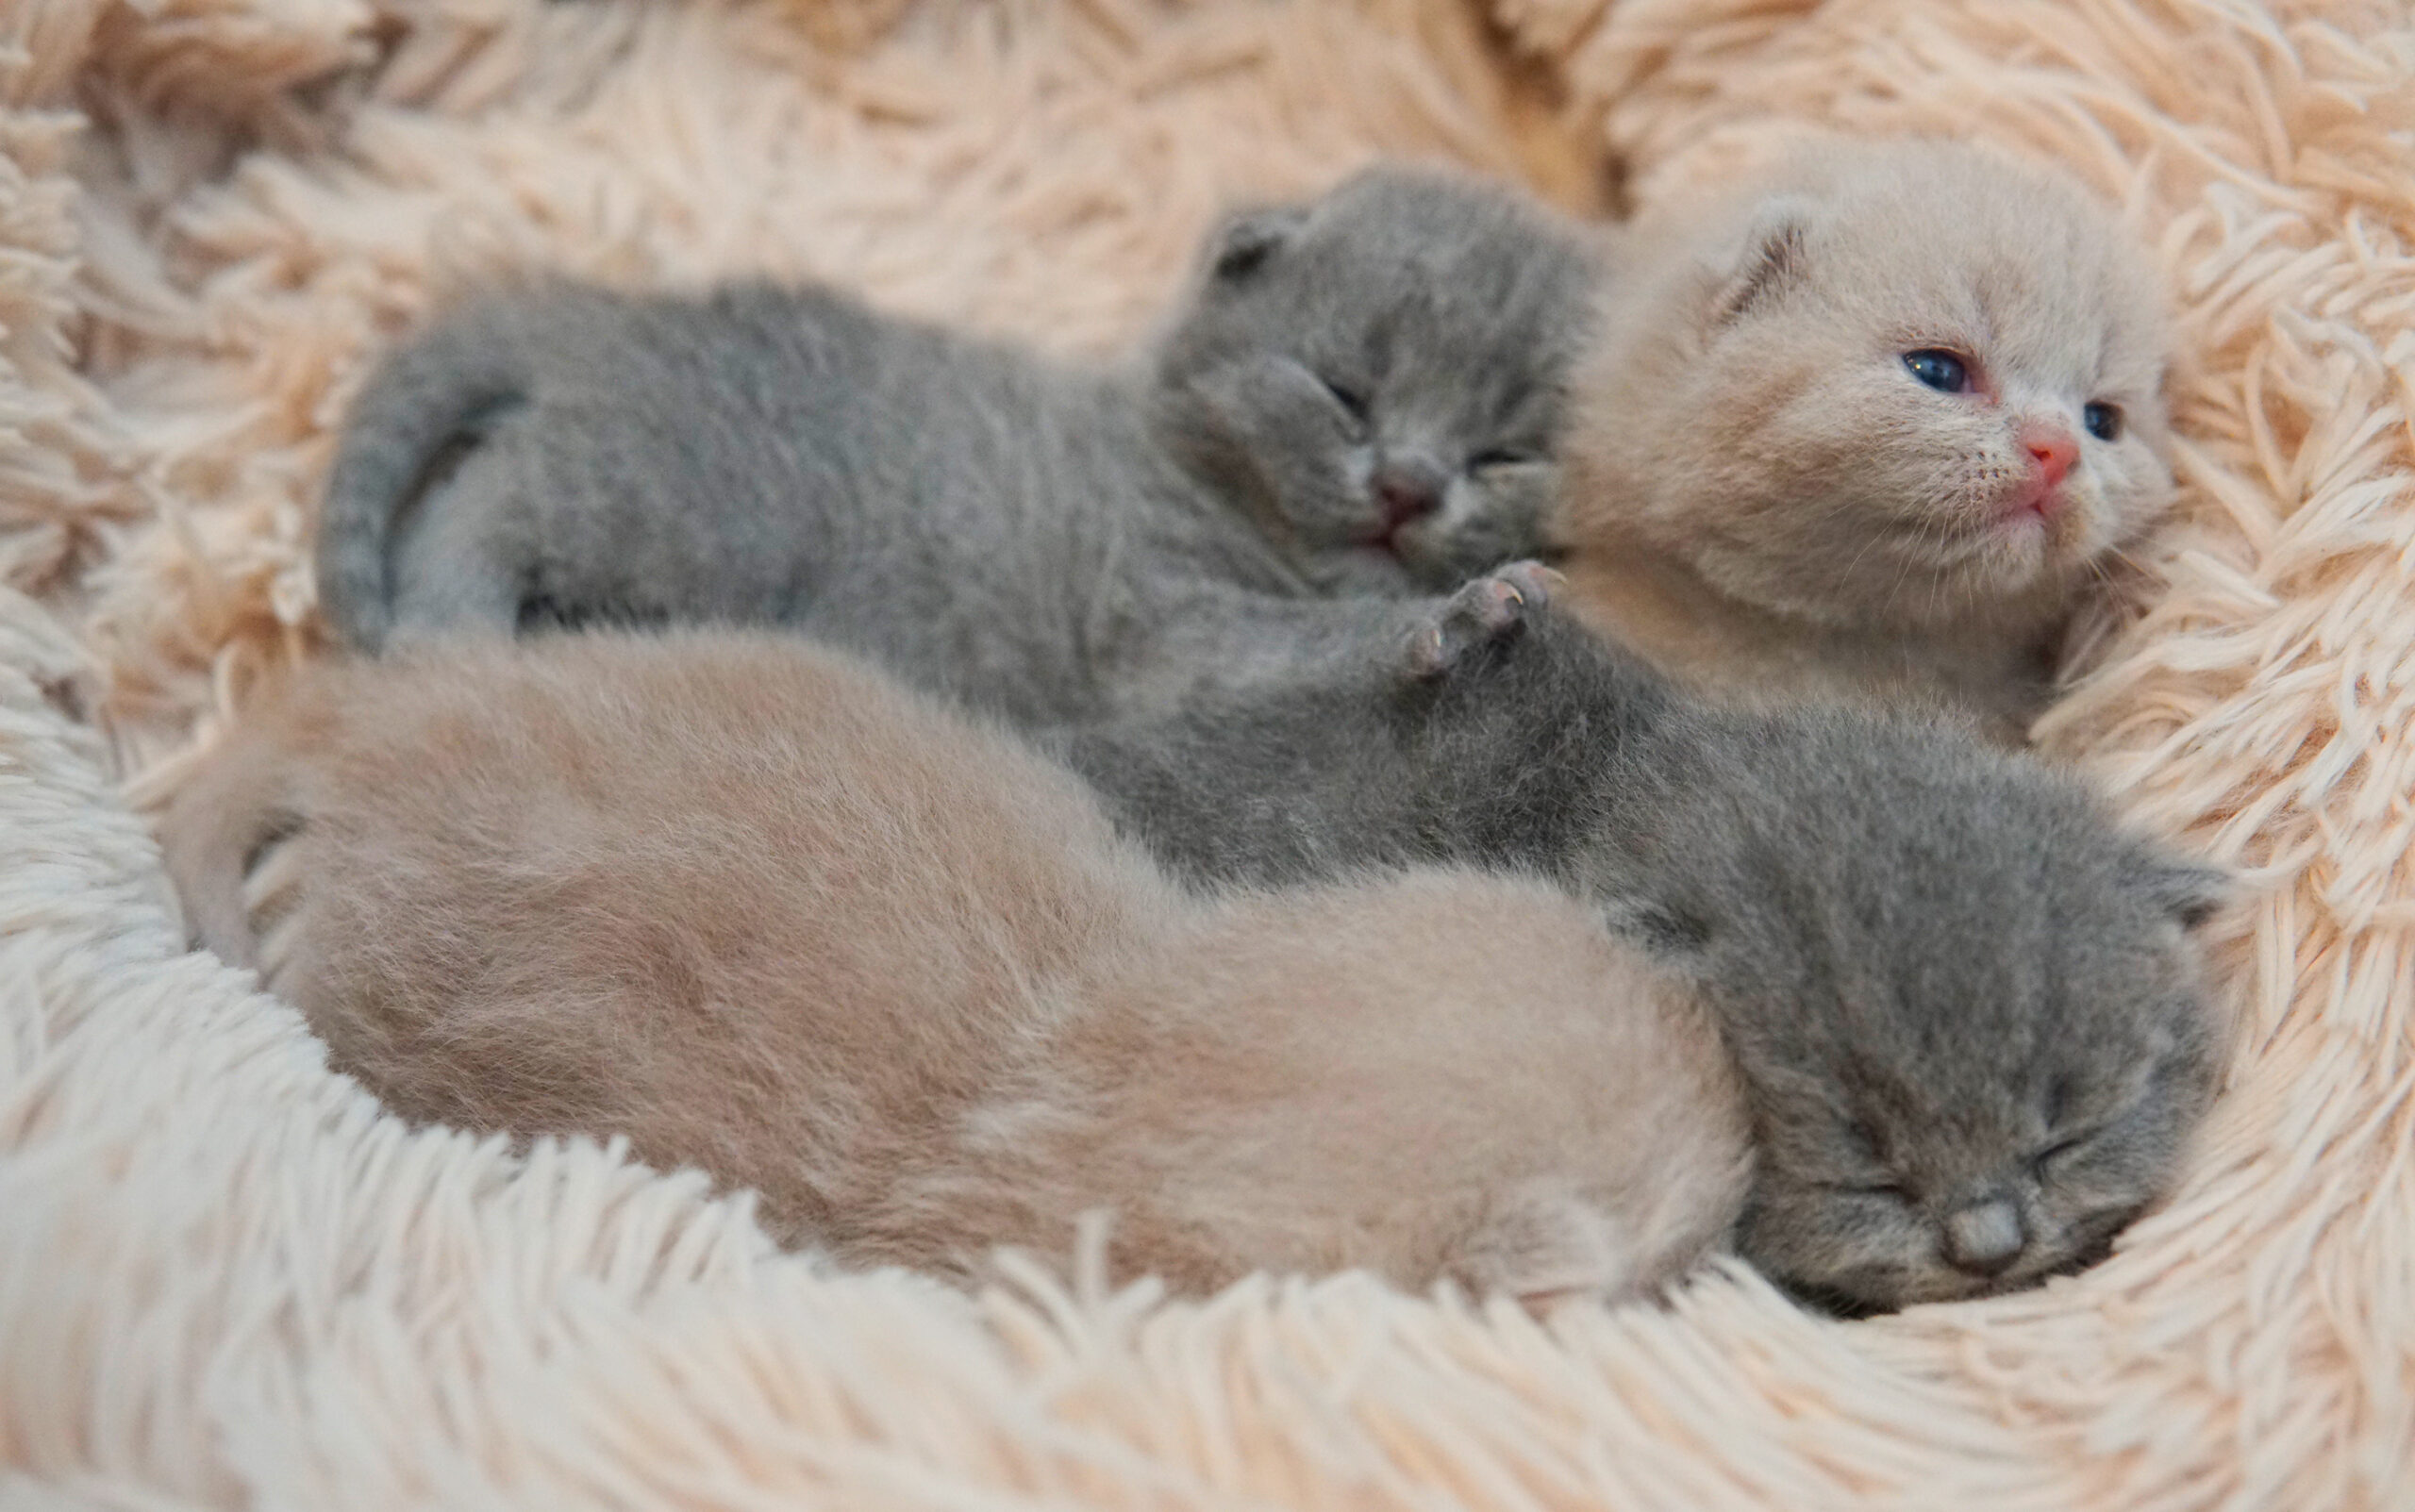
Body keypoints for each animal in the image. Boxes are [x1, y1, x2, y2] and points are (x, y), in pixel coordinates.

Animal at [316, 164, 1603, 724]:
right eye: (1344, 392)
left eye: (1501, 454)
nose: (1408, 487)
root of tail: (608, 317)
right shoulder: (1159, 622)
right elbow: (1314, 641)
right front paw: (1455, 616)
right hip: (686, 504)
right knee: (489, 492)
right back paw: (451, 631)